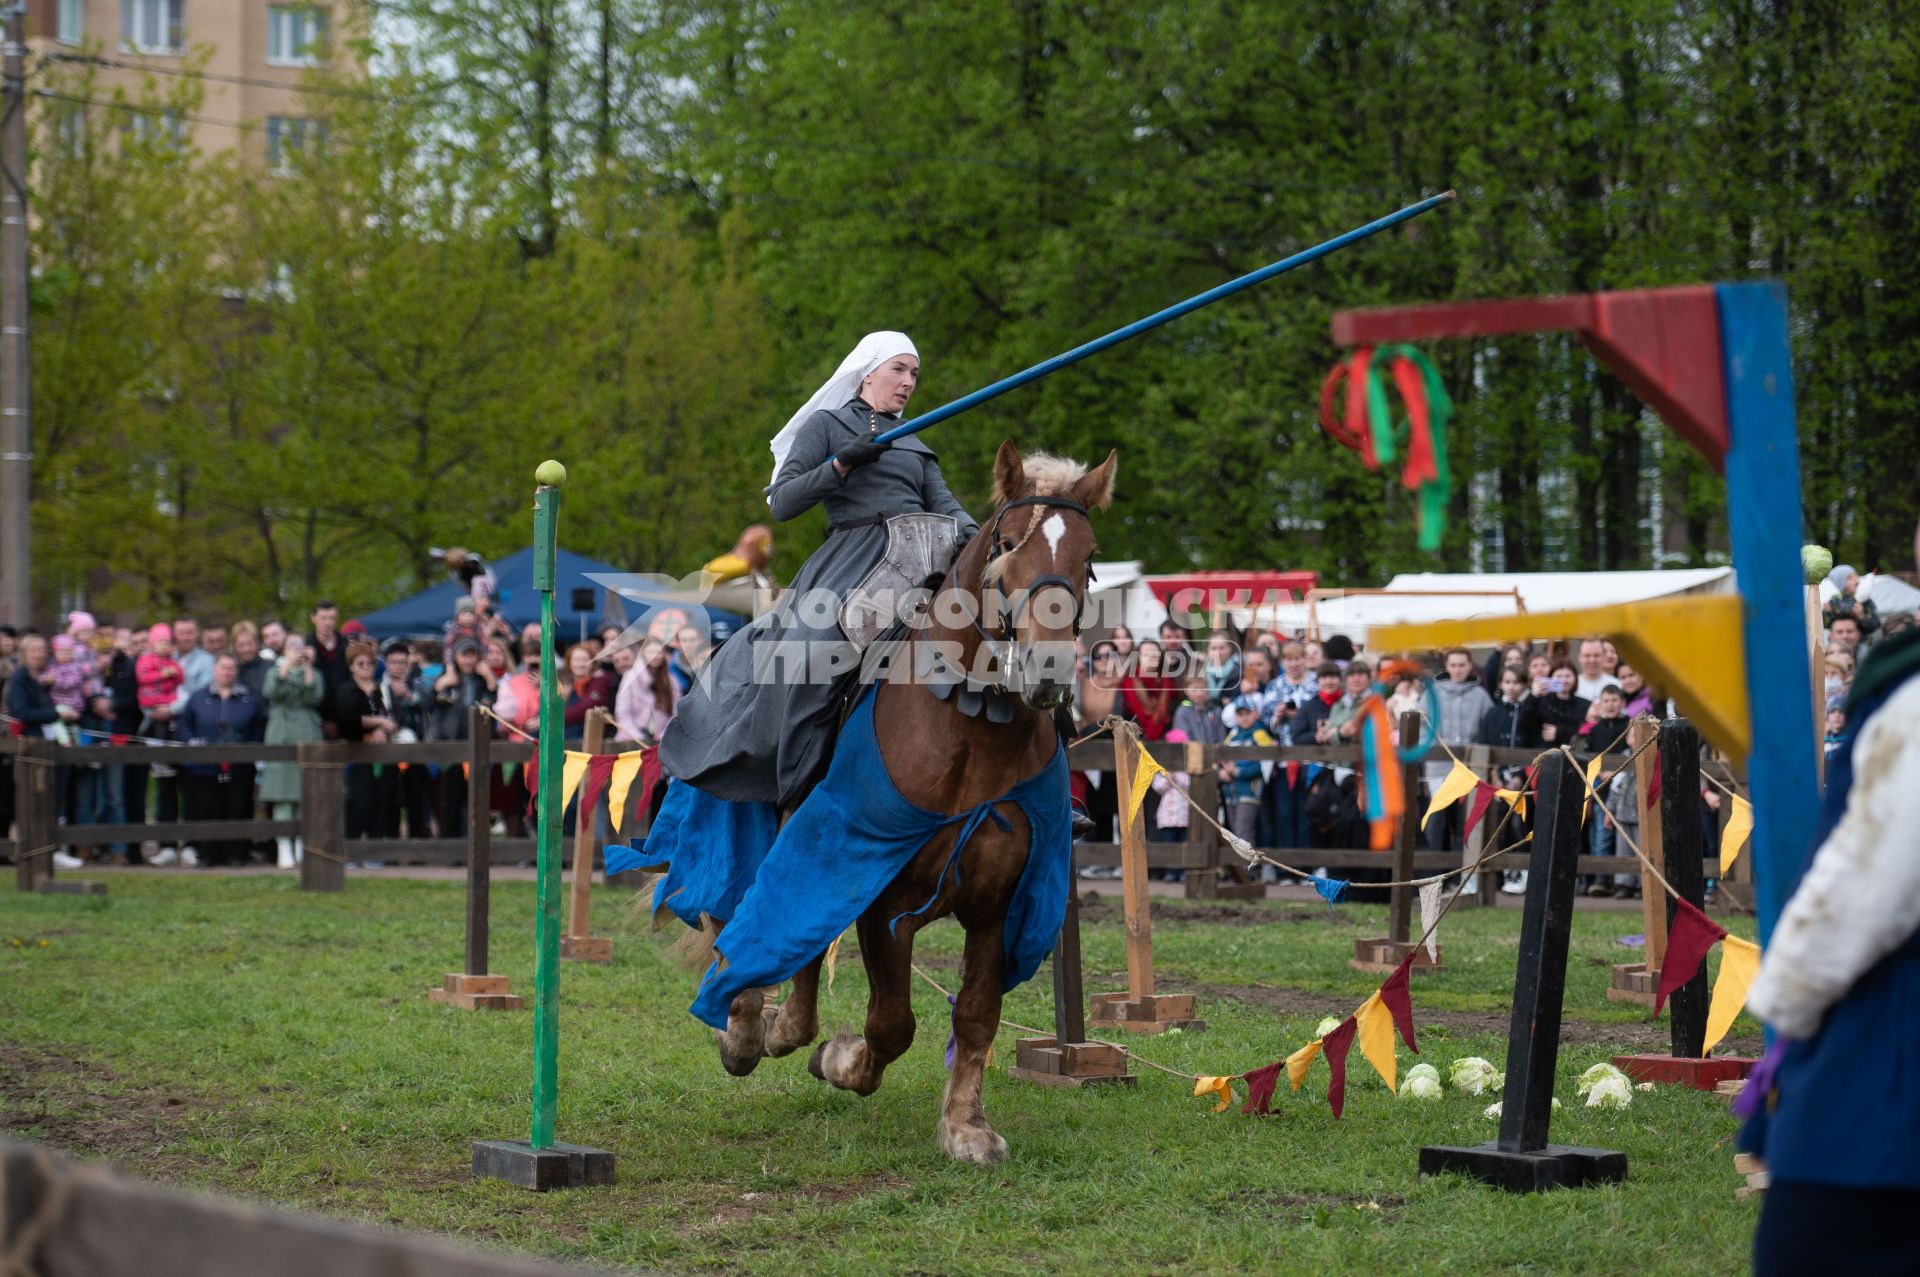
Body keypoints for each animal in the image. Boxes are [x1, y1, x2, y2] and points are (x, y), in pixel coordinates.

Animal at [714, 441, 1121, 1167]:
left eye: (1089, 554)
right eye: (1007, 545)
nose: (1046, 670)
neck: (969, 731)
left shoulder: (999, 907)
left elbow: (977, 1015)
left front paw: (966, 1125)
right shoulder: (884, 899)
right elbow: (891, 1022)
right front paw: (840, 1060)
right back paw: (747, 1029)